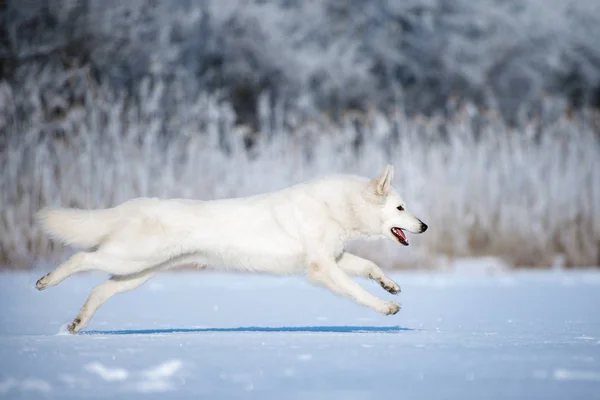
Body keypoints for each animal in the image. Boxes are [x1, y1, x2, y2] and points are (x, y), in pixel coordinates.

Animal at [35, 164, 426, 332]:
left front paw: (390, 285)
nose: (423, 226)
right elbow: (358, 292)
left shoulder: (335, 258)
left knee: (99, 289)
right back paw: (45, 281)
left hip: (137, 273)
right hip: (129, 258)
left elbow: (371, 268)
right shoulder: (322, 268)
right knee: (80, 257)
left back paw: (77, 323)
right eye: (401, 208)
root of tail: (135, 204)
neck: (338, 207)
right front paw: (386, 306)